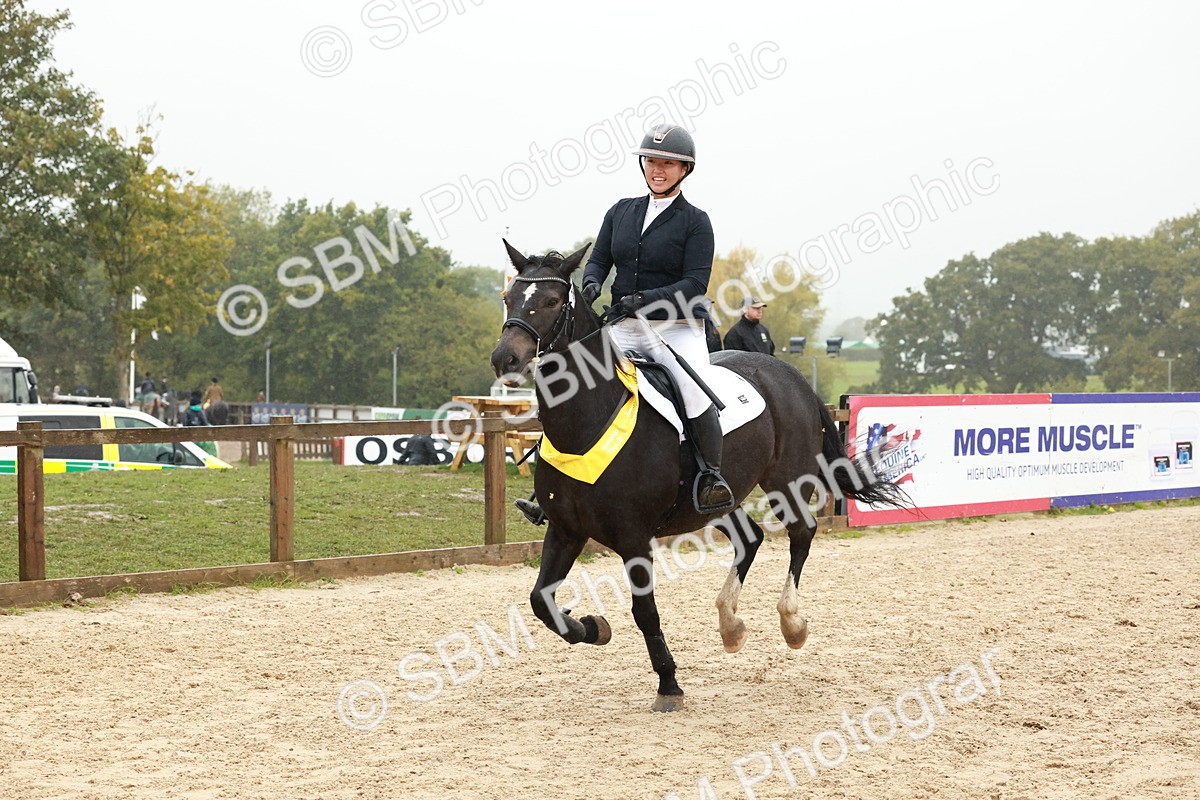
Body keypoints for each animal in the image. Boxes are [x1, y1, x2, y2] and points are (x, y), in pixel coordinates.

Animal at [490, 241, 905, 711]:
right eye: (508, 297)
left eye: (551, 301)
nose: (505, 358)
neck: (588, 421)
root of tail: (792, 375)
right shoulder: (565, 529)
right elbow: (540, 600)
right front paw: (592, 628)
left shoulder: (633, 538)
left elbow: (644, 611)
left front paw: (668, 684)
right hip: (720, 499)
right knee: (750, 537)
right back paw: (730, 626)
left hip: (787, 480)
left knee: (802, 532)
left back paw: (792, 624)